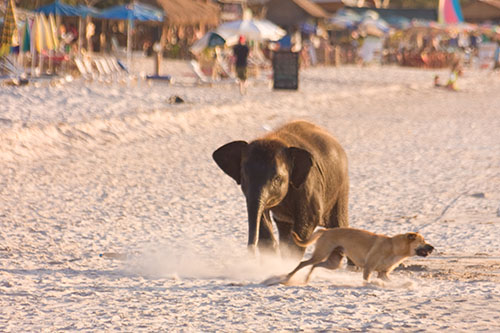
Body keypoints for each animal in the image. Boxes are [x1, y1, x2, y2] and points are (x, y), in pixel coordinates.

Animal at [213, 120, 350, 260]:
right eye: (244, 177)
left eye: (277, 178)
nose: (251, 251)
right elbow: (263, 218)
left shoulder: (308, 184)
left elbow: (309, 219)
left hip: (341, 187)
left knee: (339, 225)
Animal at [282, 227, 434, 284]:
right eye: (422, 241)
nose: (433, 247)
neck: (394, 247)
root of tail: (326, 230)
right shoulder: (368, 269)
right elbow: (366, 280)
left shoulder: (383, 274)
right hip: (321, 255)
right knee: (303, 263)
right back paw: (288, 277)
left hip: (333, 263)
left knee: (314, 265)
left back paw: (307, 278)